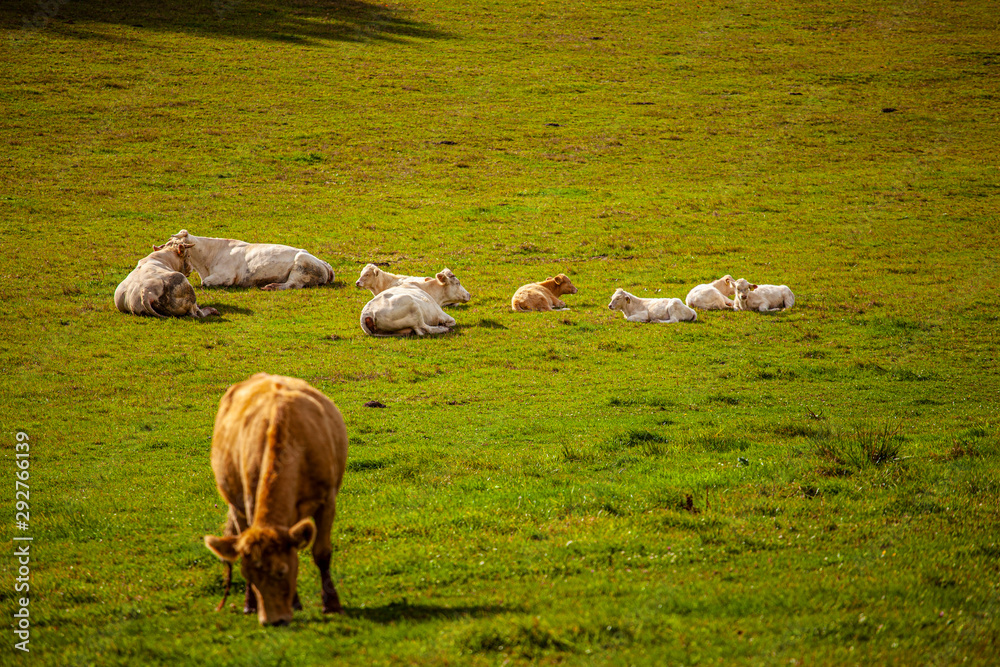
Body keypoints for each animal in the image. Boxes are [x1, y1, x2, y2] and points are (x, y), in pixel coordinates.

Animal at [168, 230, 334, 290]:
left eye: (176, 245)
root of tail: (324, 263)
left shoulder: (226, 276)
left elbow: (206, 283)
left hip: (301, 265)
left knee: (292, 285)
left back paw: (271, 286)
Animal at [204, 373, 348, 626]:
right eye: (248, 574)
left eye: (282, 571)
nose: (273, 621)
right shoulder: (250, 502)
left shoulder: (327, 501)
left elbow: (321, 553)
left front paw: (331, 604)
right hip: (236, 505)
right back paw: (251, 605)